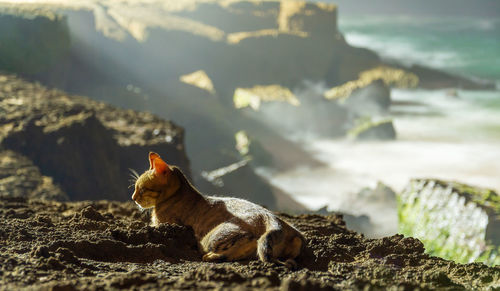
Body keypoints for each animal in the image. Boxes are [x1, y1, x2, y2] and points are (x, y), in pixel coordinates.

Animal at [131, 154, 304, 268]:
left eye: (141, 189)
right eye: (135, 188)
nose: (133, 198)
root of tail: (270, 217)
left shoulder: (162, 224)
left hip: (212, 237)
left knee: (247, 243)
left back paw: (211, 256)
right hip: (294, 241)